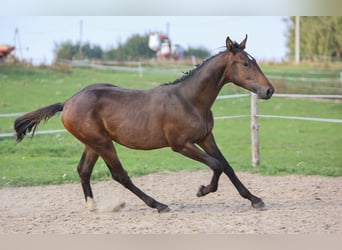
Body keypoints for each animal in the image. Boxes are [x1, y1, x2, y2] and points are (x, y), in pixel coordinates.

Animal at [14, 35, 276, 213]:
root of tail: (67, 102)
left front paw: (255, 199)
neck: (189, 100)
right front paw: (202, 190)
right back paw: (158, 205)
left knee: (84, 170)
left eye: (253, 61)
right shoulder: (181, 145)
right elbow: (216, 165)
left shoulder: (205, 137)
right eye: (245, 64)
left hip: (93, 143)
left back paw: (95, 207)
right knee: (120, 175)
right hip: (103, 143)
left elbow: (227, 166)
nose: (269, 90)